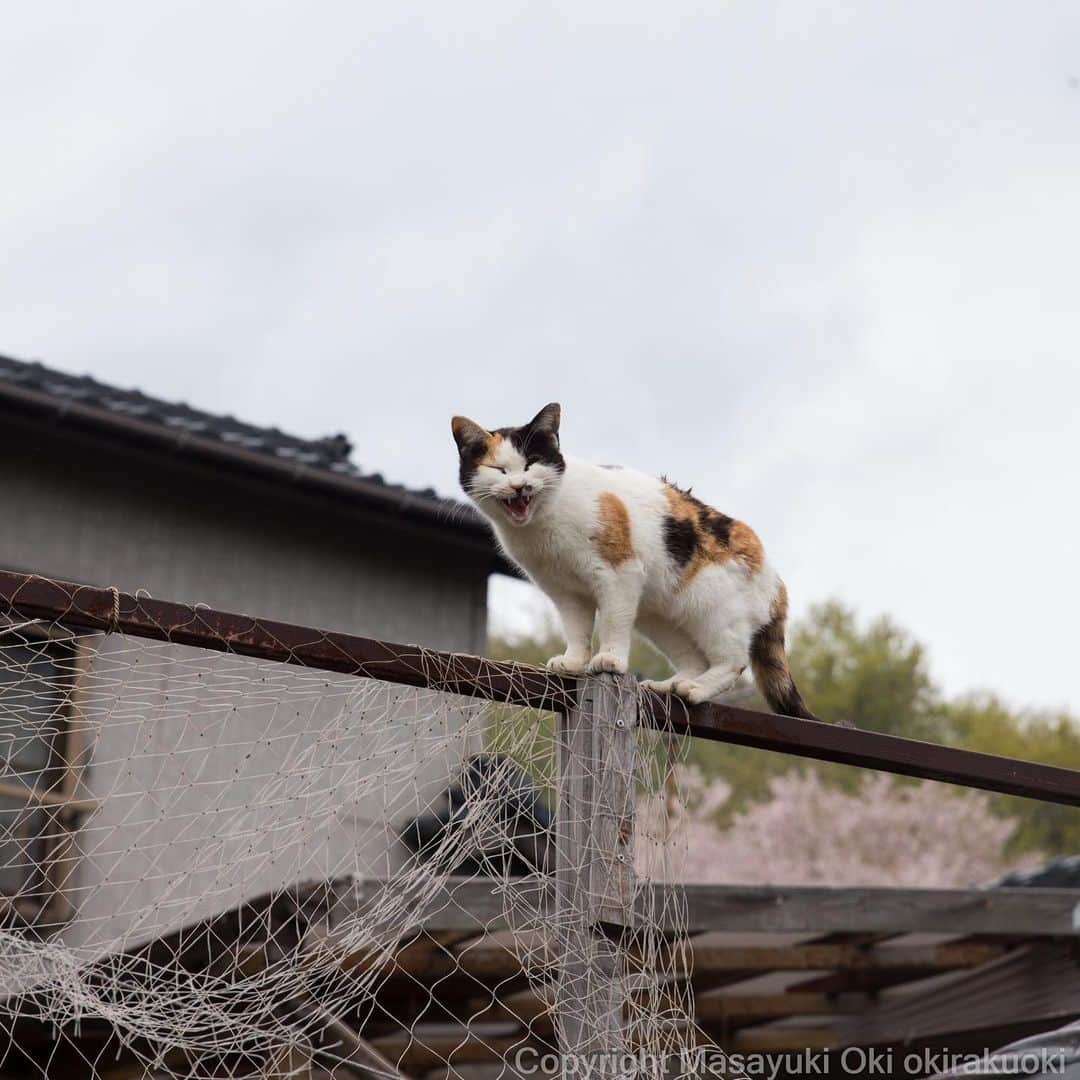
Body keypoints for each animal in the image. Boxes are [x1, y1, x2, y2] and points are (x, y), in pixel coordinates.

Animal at [453, 401, 816, 721]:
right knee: (695, 661)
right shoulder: (566, 592)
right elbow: (577, 629)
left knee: (733, 662)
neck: (543, 523)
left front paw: (609, 660)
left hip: (715, 615)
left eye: (532, 462)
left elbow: (612, 623)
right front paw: (574, 662)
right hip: (660, 618)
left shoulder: (618, 574)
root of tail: (775, 579)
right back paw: (670, 686)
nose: (519, 486)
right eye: (499, 470)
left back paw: (695, 689)